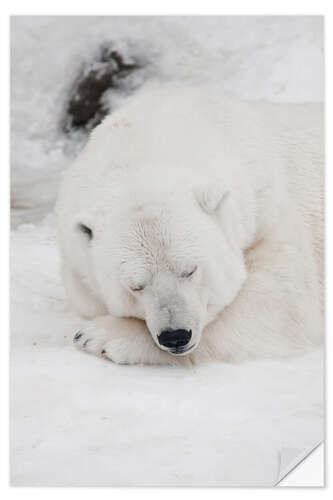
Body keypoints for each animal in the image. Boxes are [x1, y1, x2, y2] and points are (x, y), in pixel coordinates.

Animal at [55, 84, 322, 366]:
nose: (176, 336)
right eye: (135, 285)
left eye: (190, 270)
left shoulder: (268, 208)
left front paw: (101, 336)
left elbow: (280, 302)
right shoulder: (75, 258)